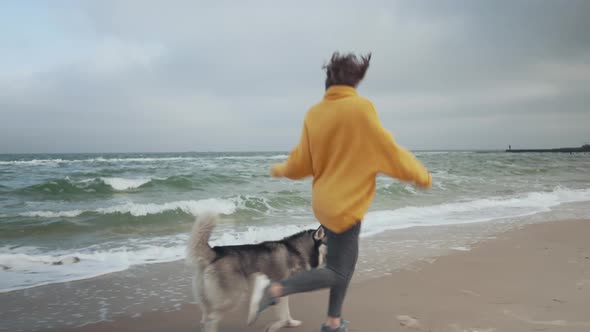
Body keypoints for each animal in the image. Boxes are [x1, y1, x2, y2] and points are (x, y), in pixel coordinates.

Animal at [186, 213, 328, 332]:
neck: (296, 251)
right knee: (212, 318)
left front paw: (290, 323)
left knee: (205, 319)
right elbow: (284, 313)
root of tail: (216, 252)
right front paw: (282, 324)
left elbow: (284, 313)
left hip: (207, 299)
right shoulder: (282, 290)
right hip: (232, 297)